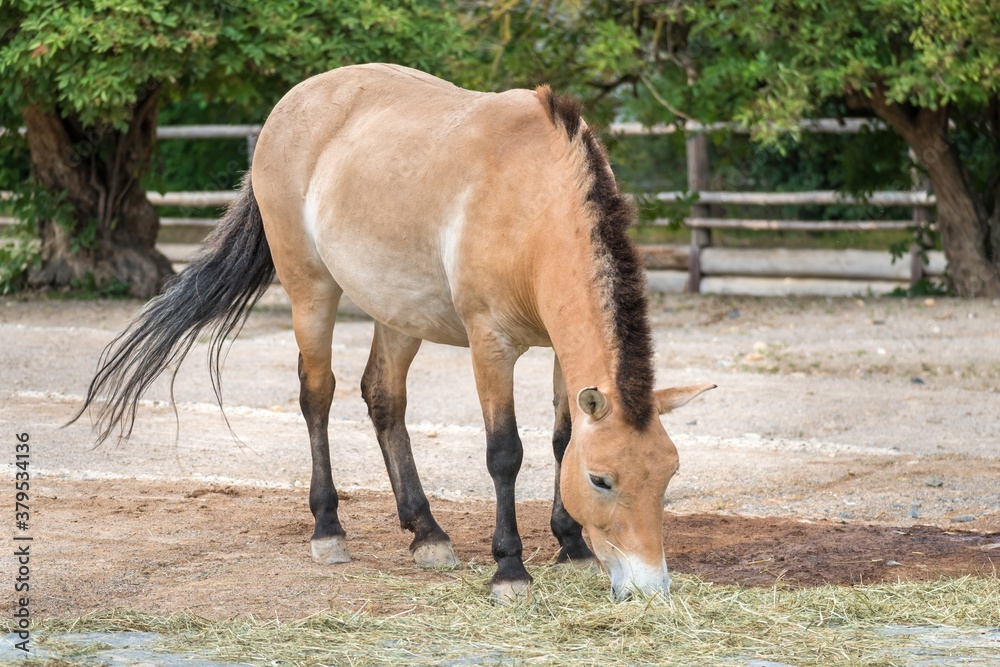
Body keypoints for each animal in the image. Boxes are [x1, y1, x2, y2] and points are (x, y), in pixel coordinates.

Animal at [76, 63, 714, 602]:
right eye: (602, 481)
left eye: (668, 475)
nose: (652, 588)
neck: (532, 202)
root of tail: (291, 105)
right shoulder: (491, 345)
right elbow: (505, 452)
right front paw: (510, 569)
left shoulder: (562, 349)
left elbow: (560, 440)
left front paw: (572, 547)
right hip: (310, 290)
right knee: (317, 396)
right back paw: (329, 531)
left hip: (397, 313)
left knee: (383, 398)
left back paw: (426, 532)